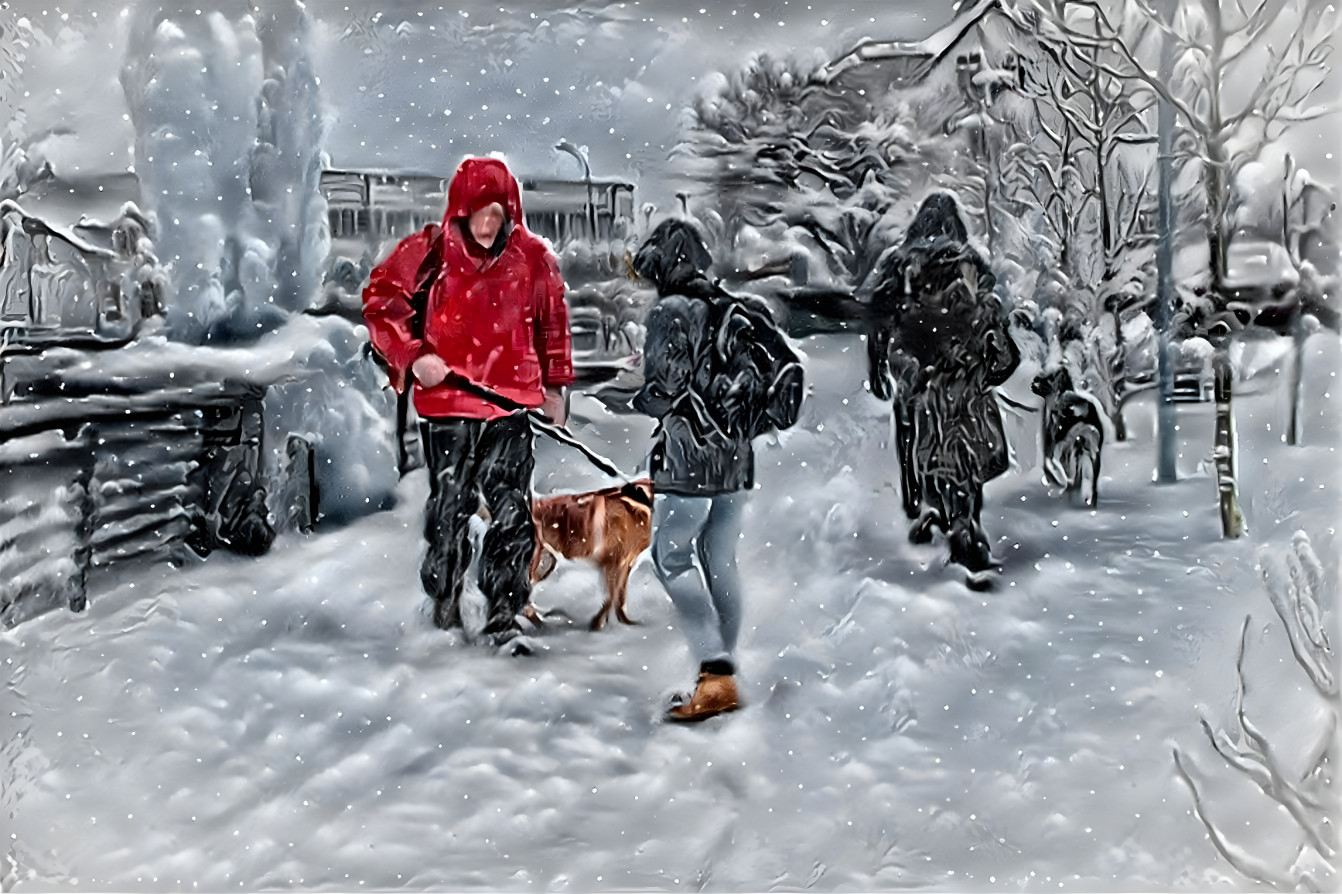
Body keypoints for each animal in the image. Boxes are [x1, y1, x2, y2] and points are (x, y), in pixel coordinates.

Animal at [523, 477, 654, 630]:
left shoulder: (625, 565)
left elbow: (619, 599)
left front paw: (624, 624)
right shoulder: (613, 563)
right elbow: (611, 596)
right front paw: (597, 623)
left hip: (546, 564)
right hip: (536, 564)